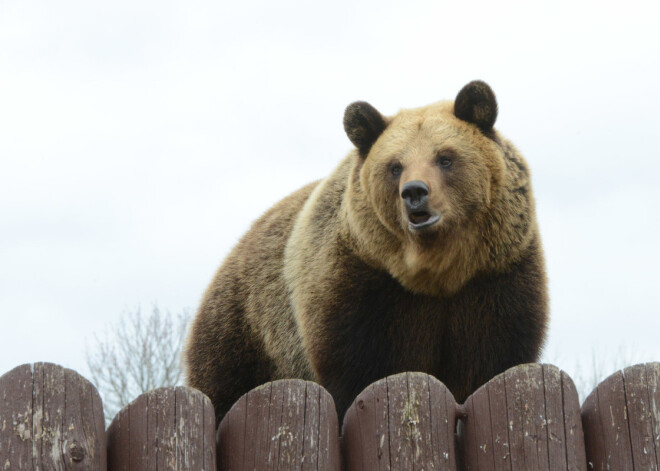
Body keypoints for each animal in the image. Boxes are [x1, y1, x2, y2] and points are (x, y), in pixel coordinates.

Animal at [184, 80, 548, 424]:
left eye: (445, 158)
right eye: (395, 166)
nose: (414, 193)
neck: (436, 273)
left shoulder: (494, 278)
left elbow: (491, 361)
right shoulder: (362, 285)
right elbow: (363, 368)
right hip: (245, 331)